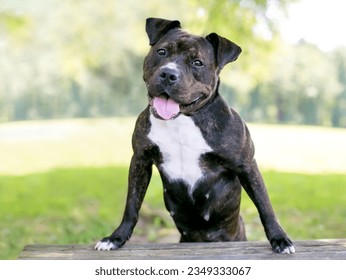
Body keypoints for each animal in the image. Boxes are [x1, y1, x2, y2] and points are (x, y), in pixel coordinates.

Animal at [94, 17, 294, 254]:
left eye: (198, 63)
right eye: (162, 51)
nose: (168, 74)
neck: (182, 120)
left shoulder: (246, 165)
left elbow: (265, 205)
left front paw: (279, 239)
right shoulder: (140, 160)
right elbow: (131, 205)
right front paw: (116, 238)